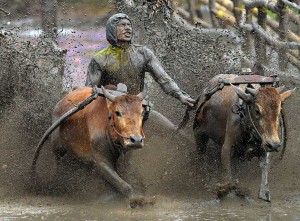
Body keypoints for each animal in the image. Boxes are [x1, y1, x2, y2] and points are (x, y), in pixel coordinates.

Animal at [193, 74, 294, 202]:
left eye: (279, 110)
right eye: (257, 110)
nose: (274, 145)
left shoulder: (264, 146)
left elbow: (264, 167)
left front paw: (264, 192)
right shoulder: (227, 148)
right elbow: (227, 171)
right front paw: (229, 192)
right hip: (199, 133)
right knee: (201, 154)